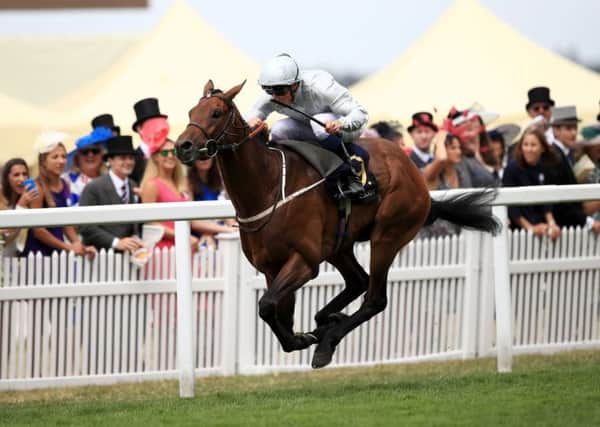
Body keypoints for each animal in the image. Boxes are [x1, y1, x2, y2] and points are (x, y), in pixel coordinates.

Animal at [175, 82, 502, 370]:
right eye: (191, 111)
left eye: (216, 113)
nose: (183, 146)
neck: (268, 187)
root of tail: (418, 179)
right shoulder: (271, 267)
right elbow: (278, 313)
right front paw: (303, 336)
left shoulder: (305, 261)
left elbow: (267, 306)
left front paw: (307, 339)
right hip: (339, 245)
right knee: (358, 281)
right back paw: (326, 323)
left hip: (388, 234)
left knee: (374, 298)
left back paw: (328, 340)